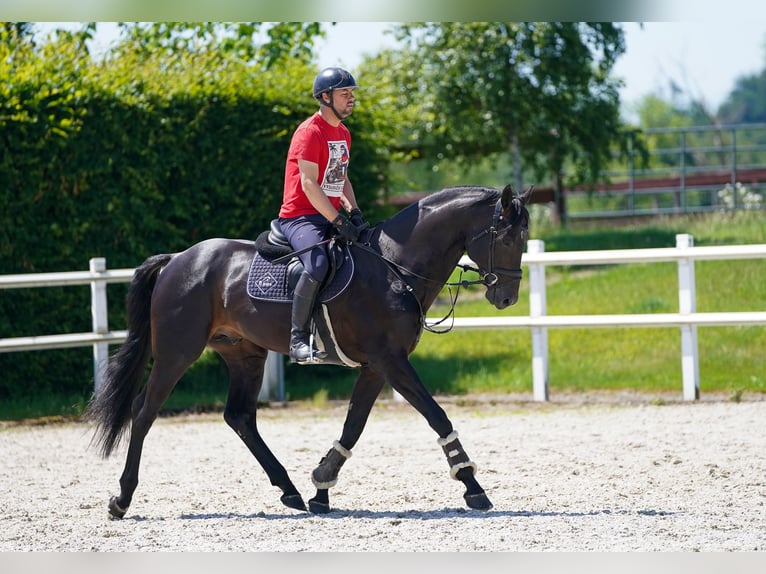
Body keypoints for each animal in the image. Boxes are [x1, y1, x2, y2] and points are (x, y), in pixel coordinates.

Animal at [84, 183, 532, 519]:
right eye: (509, 236)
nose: (507, 298)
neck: (392, 266)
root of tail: (178, 258)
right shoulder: (391, 361)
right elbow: (437, 416)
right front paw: (473, 486)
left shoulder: (376, 366)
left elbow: (353, 426)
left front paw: (321, 485)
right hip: (177, 352)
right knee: (144, 412)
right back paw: (122, 499)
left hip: (245, 355)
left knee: (240, 417)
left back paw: (290, 491)